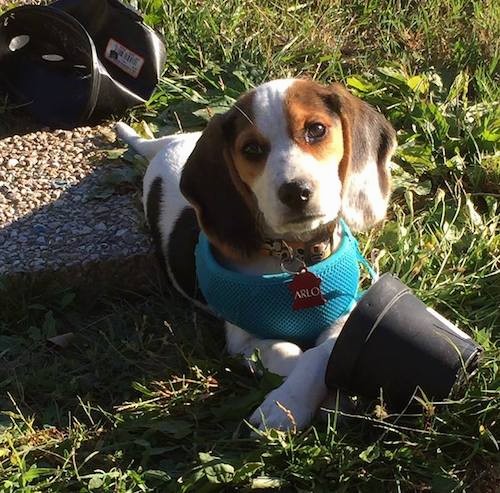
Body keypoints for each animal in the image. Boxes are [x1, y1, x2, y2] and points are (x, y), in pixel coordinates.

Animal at [115, 78, 396, 430]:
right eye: (251, 149)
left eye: (316, 130)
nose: (296, 192)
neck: (294, 255)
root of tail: (170, 146)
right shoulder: (243, 342)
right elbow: (292, 353)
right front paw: (289, 402)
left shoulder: (349, 314)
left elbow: (323, 353)